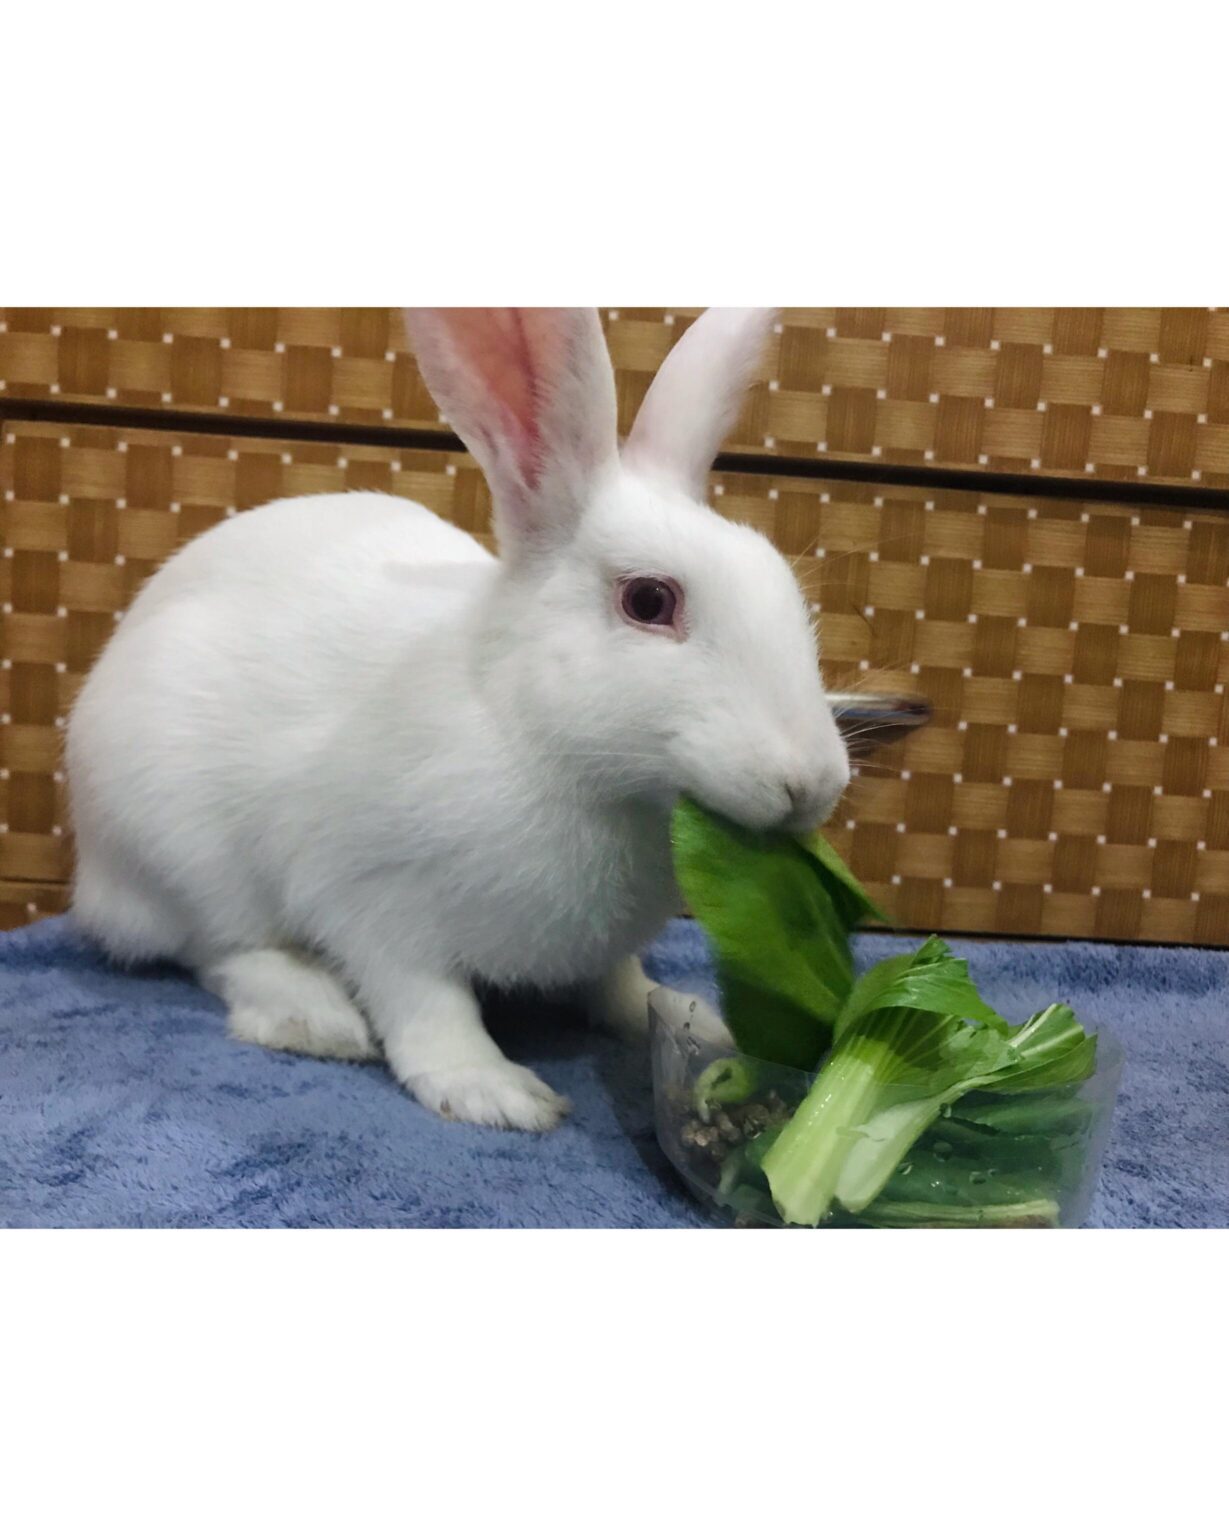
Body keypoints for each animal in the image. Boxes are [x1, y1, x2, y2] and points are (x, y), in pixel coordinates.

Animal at [65, 308, 851, 1131]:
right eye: (648, 601)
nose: (811, 784)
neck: (538, 740)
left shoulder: (600, 948)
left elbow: (614, 983)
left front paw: (678, 1016)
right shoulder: (372, 899)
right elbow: (427, 1004)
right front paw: (493, 1092)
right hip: (179, 852)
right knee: (216, 951)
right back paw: (315, 1017)